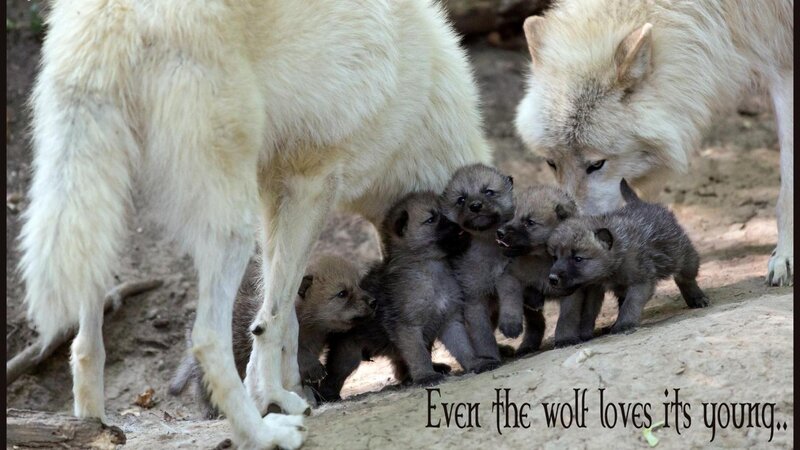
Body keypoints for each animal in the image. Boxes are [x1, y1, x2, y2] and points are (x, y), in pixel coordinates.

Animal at [19, 1, 490, 447]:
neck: (423, 97)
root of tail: (117, 13)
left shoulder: (274, 196)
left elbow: (282, 313)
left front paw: (290, 390)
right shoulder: (310, 188)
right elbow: (273, 316)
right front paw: (276, 398)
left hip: (103, 212)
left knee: (84, 343)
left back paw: (92, 428)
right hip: (231, 228)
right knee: (205, 338)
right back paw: (261, 435)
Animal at [515, 0, 793, 286]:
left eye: (597, 164)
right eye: (551, 163)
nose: (566, 236)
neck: (728, 11)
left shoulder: (782, 58)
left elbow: (787, 187)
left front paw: (784, 257)